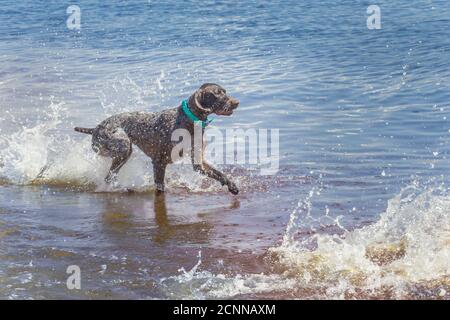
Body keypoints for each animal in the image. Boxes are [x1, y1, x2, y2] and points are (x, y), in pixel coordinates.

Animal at [74, 82, 239, 194]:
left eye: (225, 91)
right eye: (217, 93)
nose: (237, 103)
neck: (188, 120)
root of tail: (95, 129)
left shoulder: (199, 163)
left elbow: (220, 174)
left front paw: (232, 186)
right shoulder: (159, 162)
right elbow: (160, 188)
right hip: (122, 147)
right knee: (109, 176)